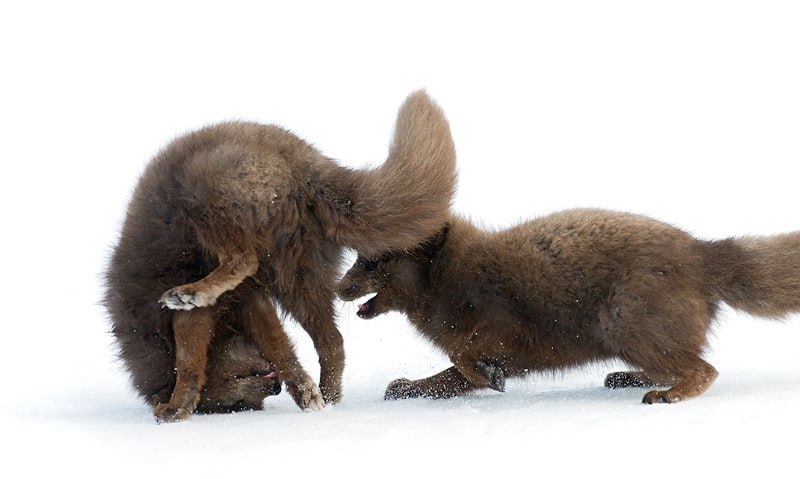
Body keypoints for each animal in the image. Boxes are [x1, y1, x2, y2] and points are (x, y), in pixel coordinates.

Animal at [104, 91, 456, 424]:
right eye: (240, 405)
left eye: (238, 393)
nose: (273, 389)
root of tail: (307, 165)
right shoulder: (252, 300)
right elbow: (282, 351)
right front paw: (307, 394)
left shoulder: (200, 310)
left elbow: (189, 363)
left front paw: (176, 407)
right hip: (298, 282)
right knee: (333, 341)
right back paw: (329, 398)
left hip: (204, 191)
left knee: (243, 258)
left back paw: (191, 293)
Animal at [336, 210, 800, 404]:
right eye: (359, 257)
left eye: (371, 262)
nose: (339, 288)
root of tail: (704, 253)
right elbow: (449, 377)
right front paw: (405, 387)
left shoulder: (508, 336)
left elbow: (464, 363)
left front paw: (488, 376)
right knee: (683, 363)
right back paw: (626, 379)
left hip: (625, 323)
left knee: (705, 369)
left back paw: (665, 396)